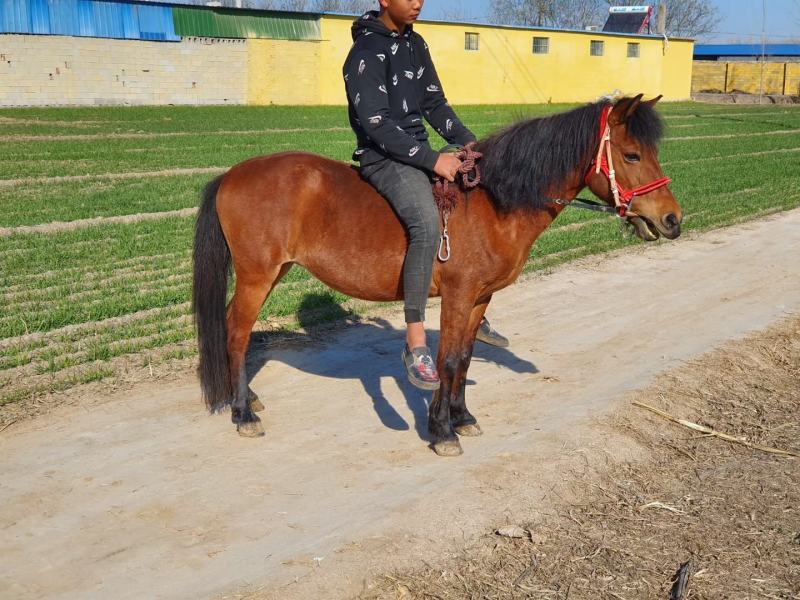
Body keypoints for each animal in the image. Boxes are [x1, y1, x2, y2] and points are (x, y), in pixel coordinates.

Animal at [192, 94, 682, 457]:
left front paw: (462, 418)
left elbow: (463, 357)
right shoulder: (458, 295)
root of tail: (231, 175)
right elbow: (445, 360)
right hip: (257, 276)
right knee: (236, 331)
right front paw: (442, 430)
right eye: (632, 154)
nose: (673, 220)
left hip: (274, 272)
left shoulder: (480, 298)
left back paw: (244, 397)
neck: (492, 201)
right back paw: (243, 413)